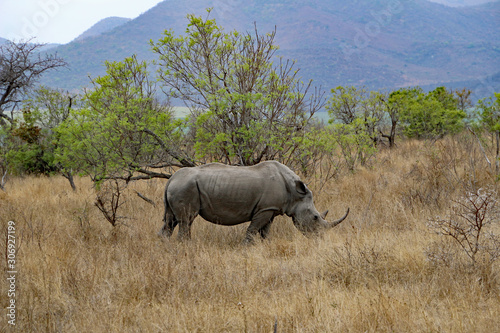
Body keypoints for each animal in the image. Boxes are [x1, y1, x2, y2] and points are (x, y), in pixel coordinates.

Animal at [159, 160, 348, 240]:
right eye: (315, 217)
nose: (320, 238)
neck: (295, 194)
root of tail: (171, 179)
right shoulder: (264, 209)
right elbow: (252, 230)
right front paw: (246, 247)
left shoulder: (271, 209)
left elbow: (266, 232)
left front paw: (267, 245)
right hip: (185, 187)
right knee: (186, 221)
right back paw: (185, 245)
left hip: (179, 186)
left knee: (171, 221)